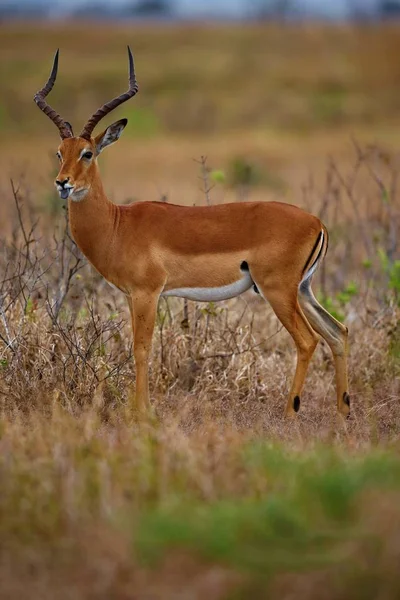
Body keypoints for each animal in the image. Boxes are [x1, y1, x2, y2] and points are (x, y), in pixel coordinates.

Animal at [34, 47, 350, 418]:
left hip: (278, 291)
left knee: (308, 340)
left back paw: (290, 412)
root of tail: (317, 222)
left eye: (87, 153)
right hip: (302, 290)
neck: (118, 224)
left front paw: (142, 414)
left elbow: (142, 348)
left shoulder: (147, 293)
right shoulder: (130, 295)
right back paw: (343, 412)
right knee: (337, 331)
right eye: (59, 153)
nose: (62, 183)